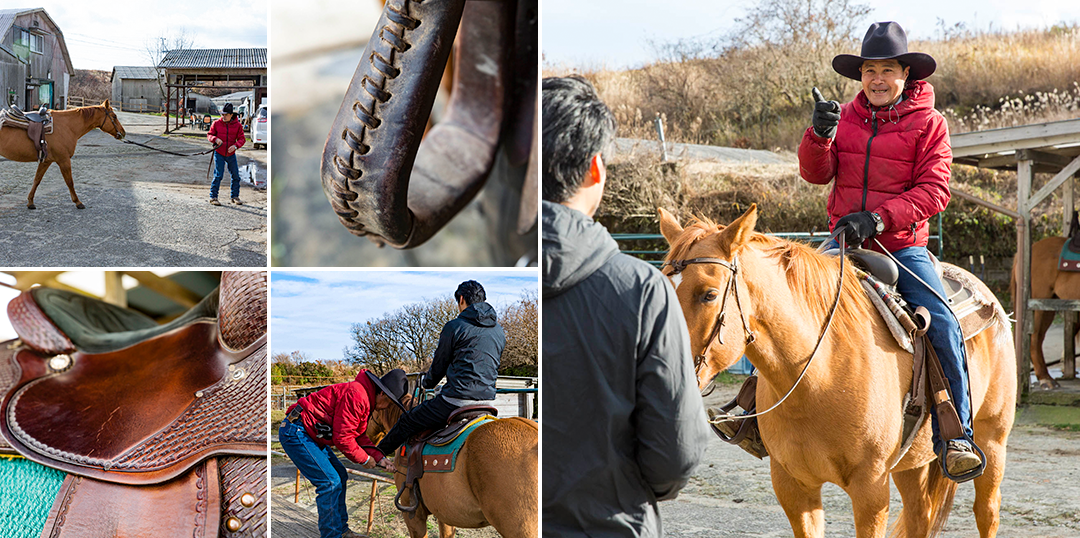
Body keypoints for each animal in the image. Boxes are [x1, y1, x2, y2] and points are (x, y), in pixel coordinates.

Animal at [658, 204, 1016, 538]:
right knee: (919, 517)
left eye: (709, 294)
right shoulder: (793, 488)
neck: (817, 379)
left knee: (987, 512)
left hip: (992, 441)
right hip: (912, 464)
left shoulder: (871, 492)